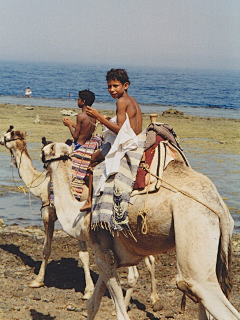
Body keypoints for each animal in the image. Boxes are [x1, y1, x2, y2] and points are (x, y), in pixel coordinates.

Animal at [0, 129, 161, 308]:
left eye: (8, 135)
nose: (0, 140)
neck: (42, 185)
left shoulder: (50, 213)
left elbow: (49, 249)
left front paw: (38, 281)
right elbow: (83, 255)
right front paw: (89, 289)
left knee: (136, 270)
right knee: (150, 258)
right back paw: (155, 298)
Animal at [40, 142, 240, 320]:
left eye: (47, 149)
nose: (41, 155)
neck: (79, 216)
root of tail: (219, 205)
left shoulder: (102, 253)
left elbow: (121, 314)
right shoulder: (109, 258)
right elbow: (92, 306)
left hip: (194, 225)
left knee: (195, 286)